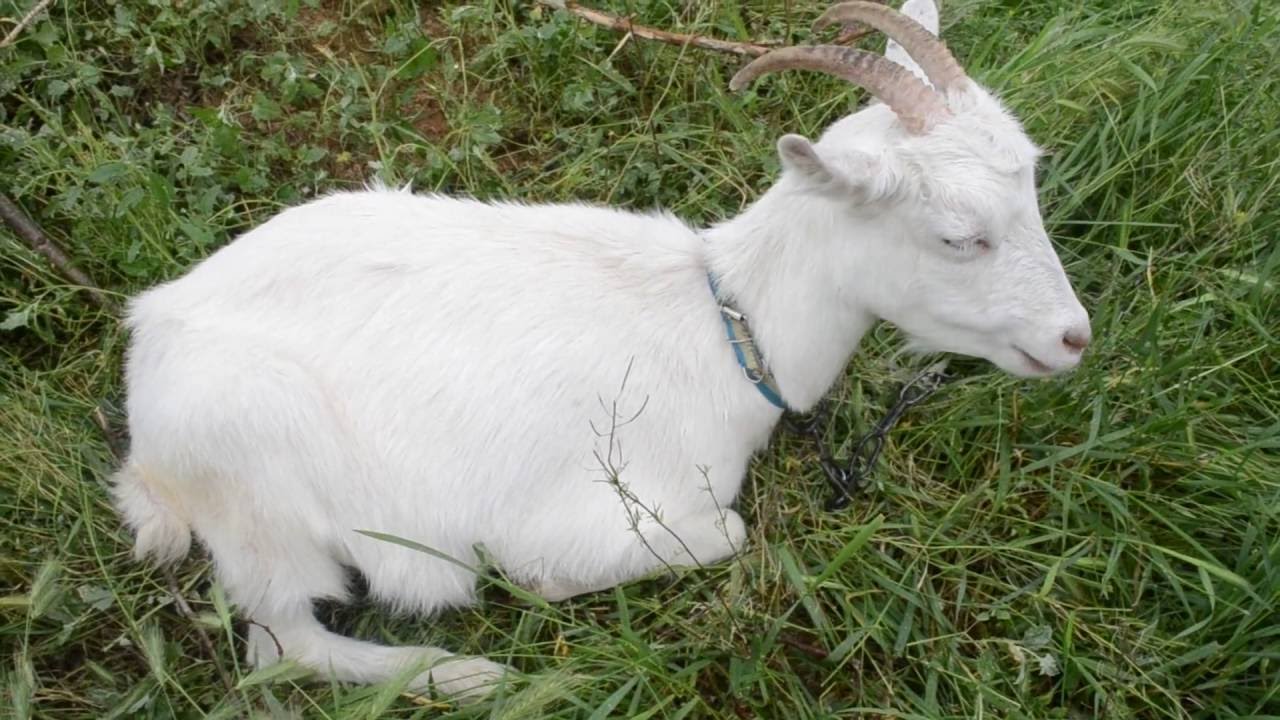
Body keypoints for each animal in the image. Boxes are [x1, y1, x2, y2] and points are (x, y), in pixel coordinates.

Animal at [112, 0, 1090, 701]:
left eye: (1033, 184)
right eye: (960, 236)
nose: (1072, 337)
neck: (728, 322)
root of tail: (151, 334)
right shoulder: (591, 513)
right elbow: (712, 535)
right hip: (257, 477)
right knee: (282, 640)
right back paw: (463, 674)